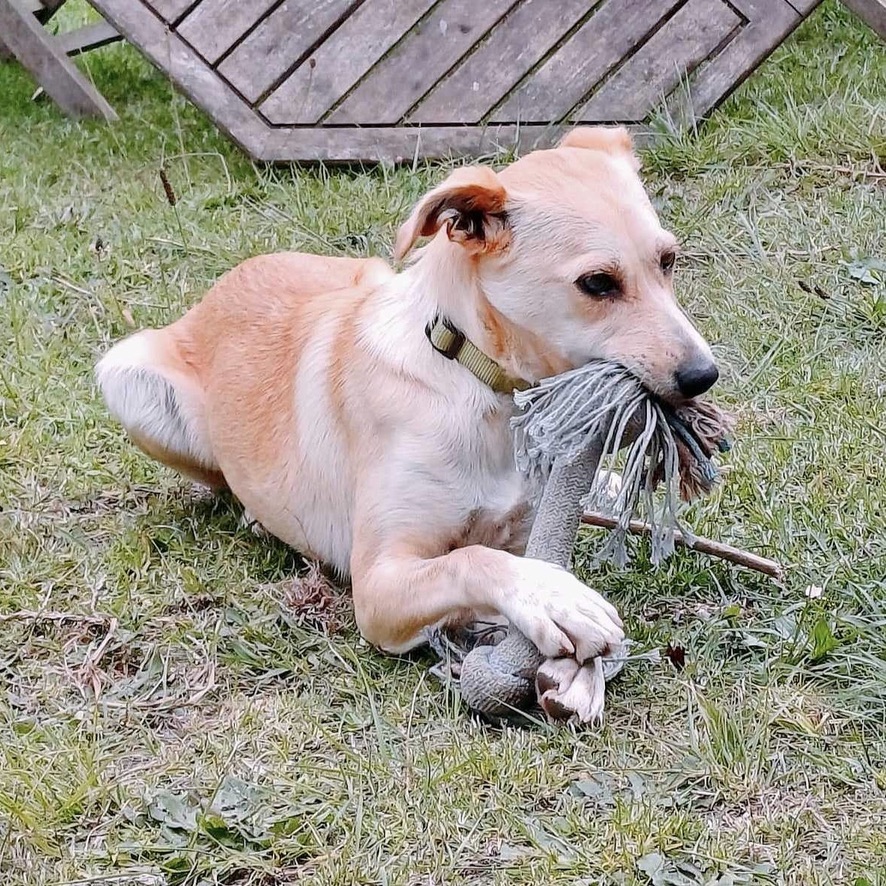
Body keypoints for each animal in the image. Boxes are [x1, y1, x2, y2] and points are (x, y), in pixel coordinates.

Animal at [95, 125, 720, 720]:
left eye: (667, 261)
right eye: (597, 283)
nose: (704, 376)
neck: (479, 386)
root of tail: (237, 272)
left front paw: (578, 674)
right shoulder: (377, 587)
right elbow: (472, 559)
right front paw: (555, 599)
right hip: (125, 376)